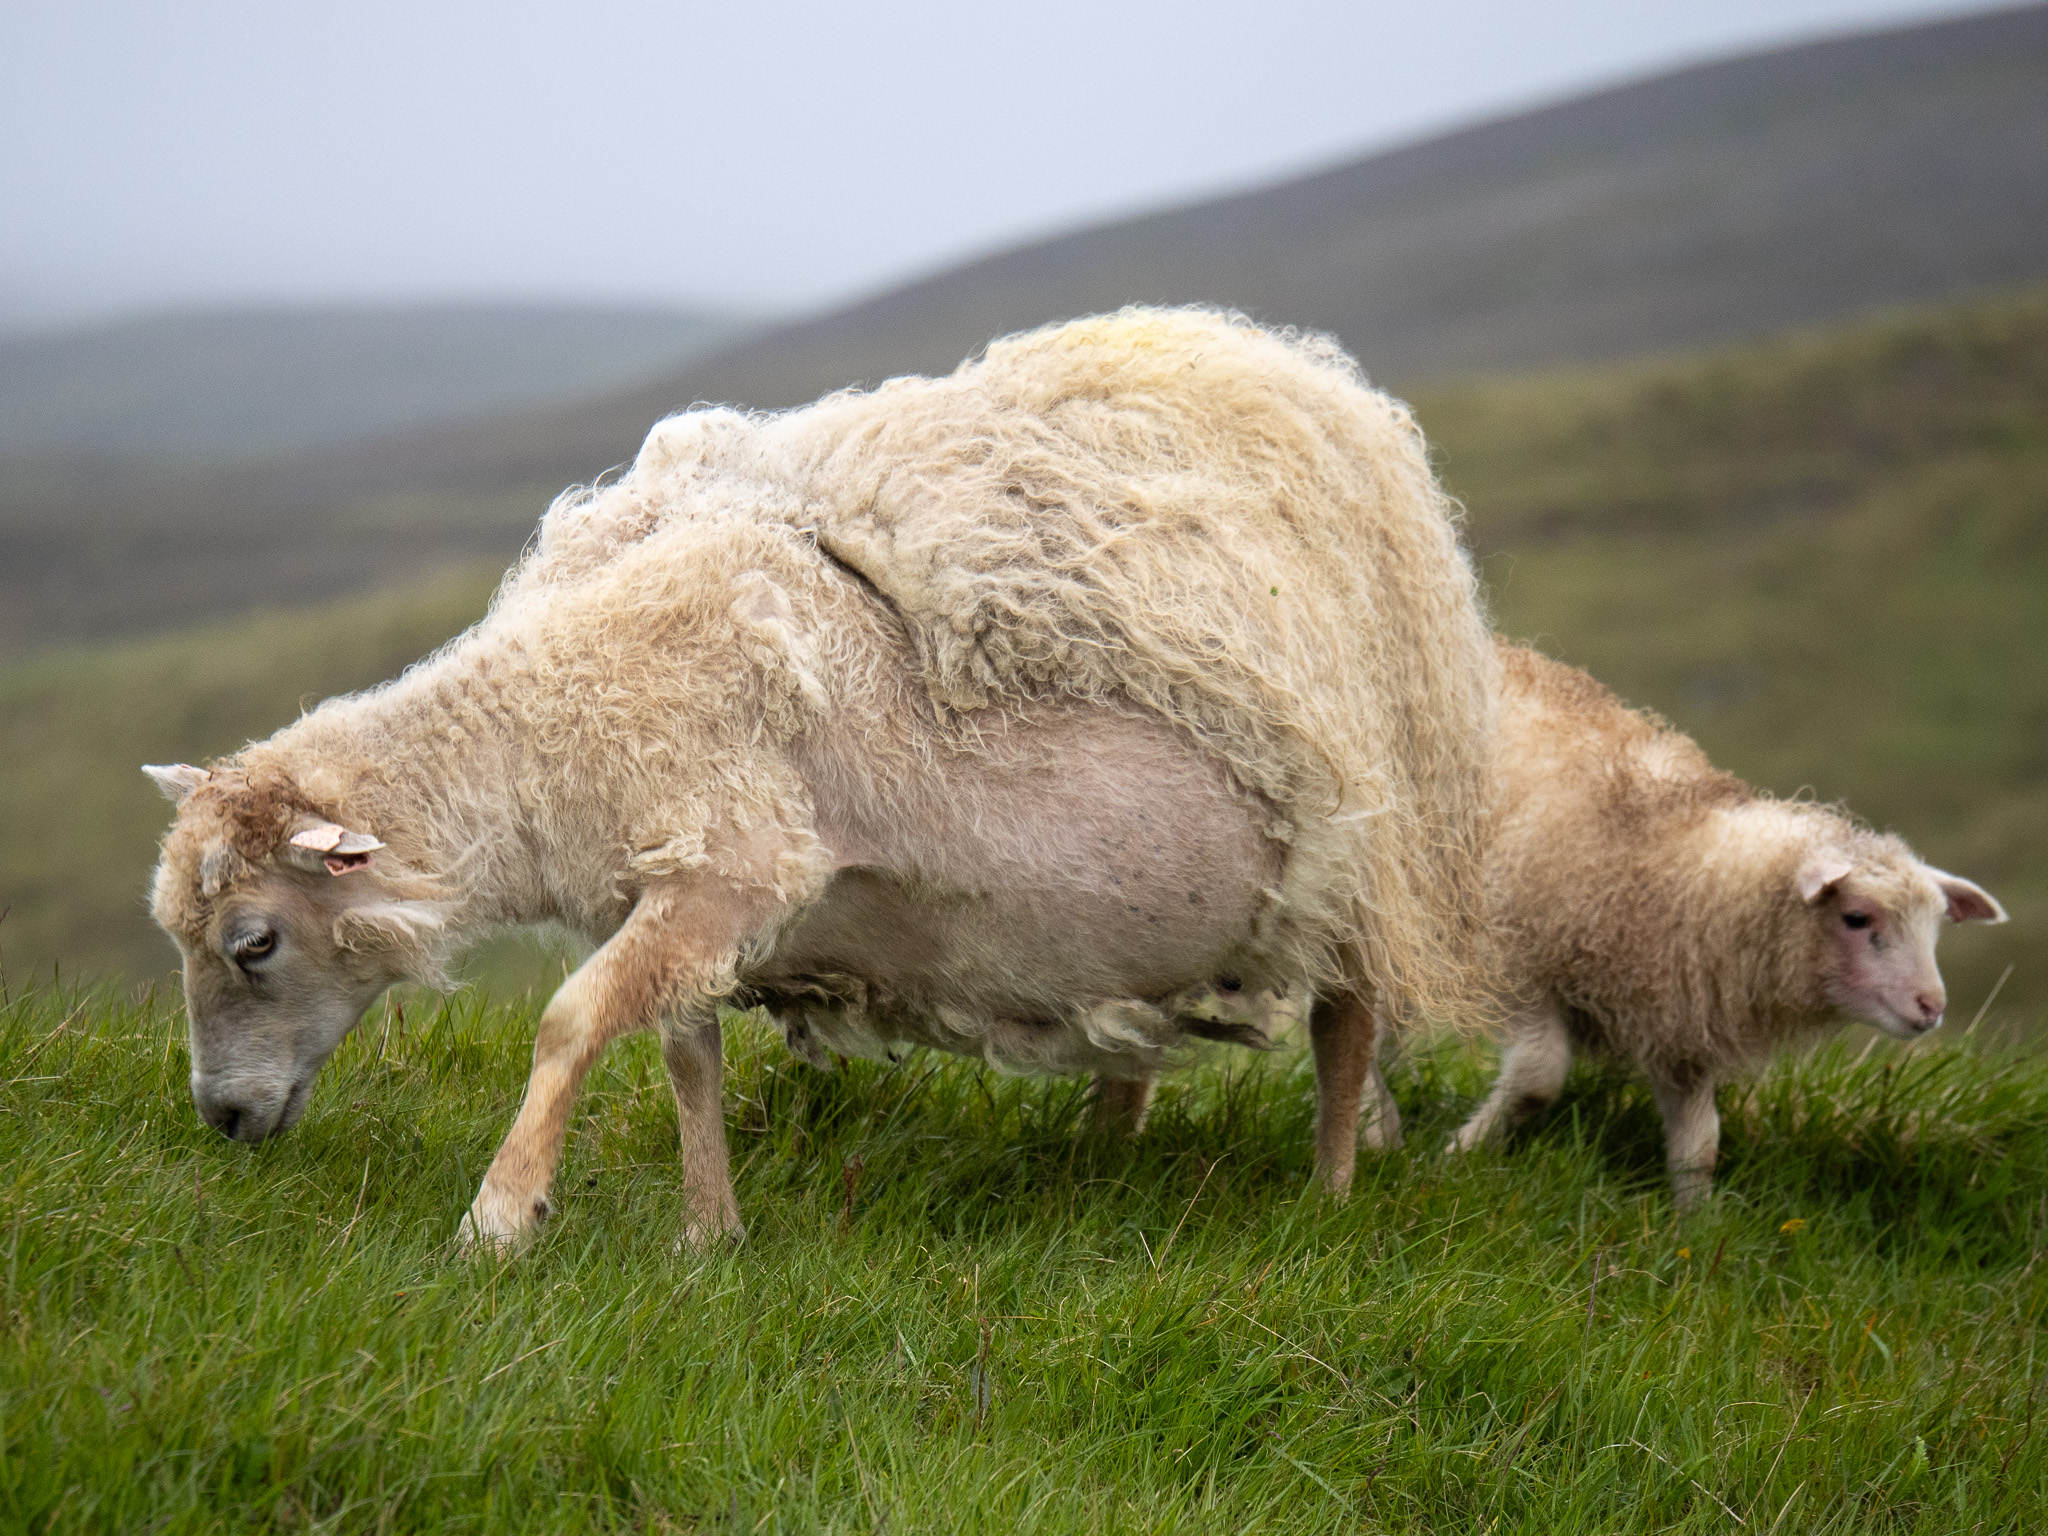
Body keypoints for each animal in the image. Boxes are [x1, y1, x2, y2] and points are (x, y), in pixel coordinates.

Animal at [143, 307, 1498, 1250]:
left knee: (1345, 1022)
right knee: (1142, 1036)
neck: (570, 708)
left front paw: (500, 1216)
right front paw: (709, 1234)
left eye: (254, 943)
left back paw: (1327, 1195)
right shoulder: (684, 894)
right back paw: (1106, 1164)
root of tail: (1329, 392)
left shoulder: (739, 863)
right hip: (1155, 922)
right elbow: (684, 1054)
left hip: (1352, 838)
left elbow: (570, 1021)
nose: (219, 1120)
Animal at [1446, 641, 2006, 1207]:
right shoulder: (1512, 968)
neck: (1675, 870)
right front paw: (1459, 1156)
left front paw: (1692, 1222)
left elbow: (1700, 1145)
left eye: (1936, 927)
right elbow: (1537, 1080)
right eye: (1856, 918)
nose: (1932, 1006)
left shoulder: (1675, 1027)